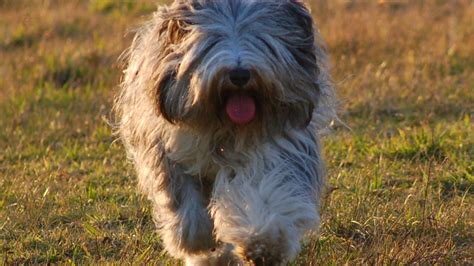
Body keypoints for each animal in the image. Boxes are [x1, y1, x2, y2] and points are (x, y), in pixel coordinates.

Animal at [115, 0, 336, 264]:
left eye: (263, 41)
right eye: (211, 43)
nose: (239, 74)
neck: (224, 128)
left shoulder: (276, 146)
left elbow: (266, 189)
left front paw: (264, 243)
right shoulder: (168, 149)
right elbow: (185, 203)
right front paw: (198, 240)